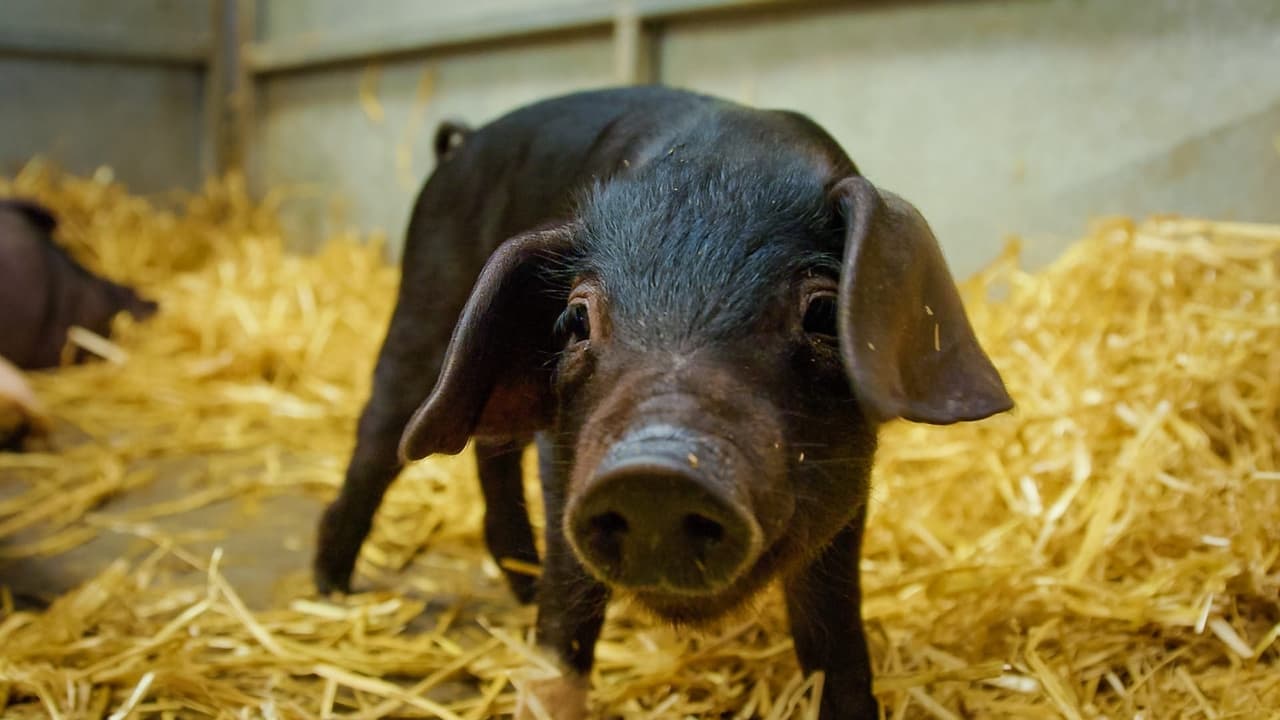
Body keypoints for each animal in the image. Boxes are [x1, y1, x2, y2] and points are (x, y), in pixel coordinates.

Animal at [314, 87, 1013, 712]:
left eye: (820, 311)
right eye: (576, 318)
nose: (658, 473)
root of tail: (462, 143)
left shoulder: (851, 495)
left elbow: (834, 634)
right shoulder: (566, 458)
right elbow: (567, 619)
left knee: (491, 453)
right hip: (422, 312)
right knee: (380, 442)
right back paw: (330, 591)